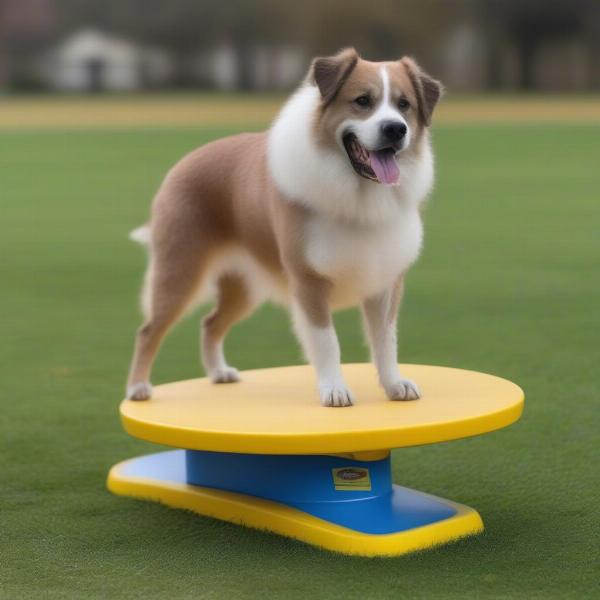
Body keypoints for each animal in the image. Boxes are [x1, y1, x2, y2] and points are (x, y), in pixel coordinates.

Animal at [126, 49, 442, 406]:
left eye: (404, 105)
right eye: (362, 100)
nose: (395, 130)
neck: (358, 193)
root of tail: (182, 165)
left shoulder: (386, 282)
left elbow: (386, 341)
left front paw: (394, 385)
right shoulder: (309, 282)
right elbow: (326, 341)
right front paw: (334, 390)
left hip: (242, 287)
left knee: (210, 323)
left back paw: (219, 372)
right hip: (179, 271)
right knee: (149, 330)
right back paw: (138, 388)